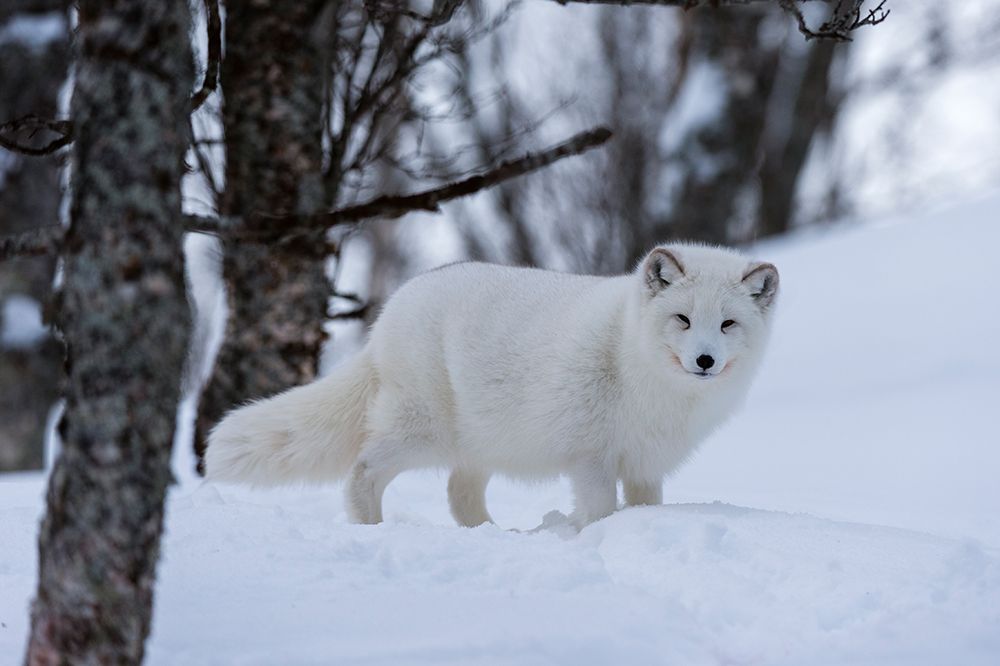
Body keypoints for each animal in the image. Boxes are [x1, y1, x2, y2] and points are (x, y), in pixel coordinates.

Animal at [205, 243, 779, 528]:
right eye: (682, 319)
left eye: (727, 325)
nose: (704, 360)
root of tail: (390, 311)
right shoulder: (591, 457)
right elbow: (599, 512)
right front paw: (595, 539)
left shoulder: (643, 464)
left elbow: (642, 510)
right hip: (423, 433)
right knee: (364, 470)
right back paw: (372, 529)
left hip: (478, 443)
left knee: (459, 494)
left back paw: (493, 535)